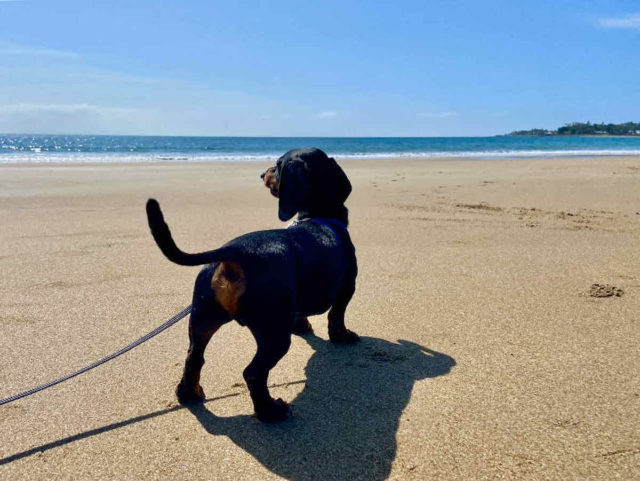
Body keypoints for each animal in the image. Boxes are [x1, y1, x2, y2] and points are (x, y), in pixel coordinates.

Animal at [146, 146, 360, 420]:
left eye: (277, 166)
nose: (262, 174)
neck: (317, 216)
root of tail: (236, 252)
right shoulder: (347, 287)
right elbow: (337, 315)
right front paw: (342, 336)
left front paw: (302, 326)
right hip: (273, 333)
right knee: (253, 373)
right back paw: (270, 411)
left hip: (202, 318)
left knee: (194, 358)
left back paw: (188, 394)